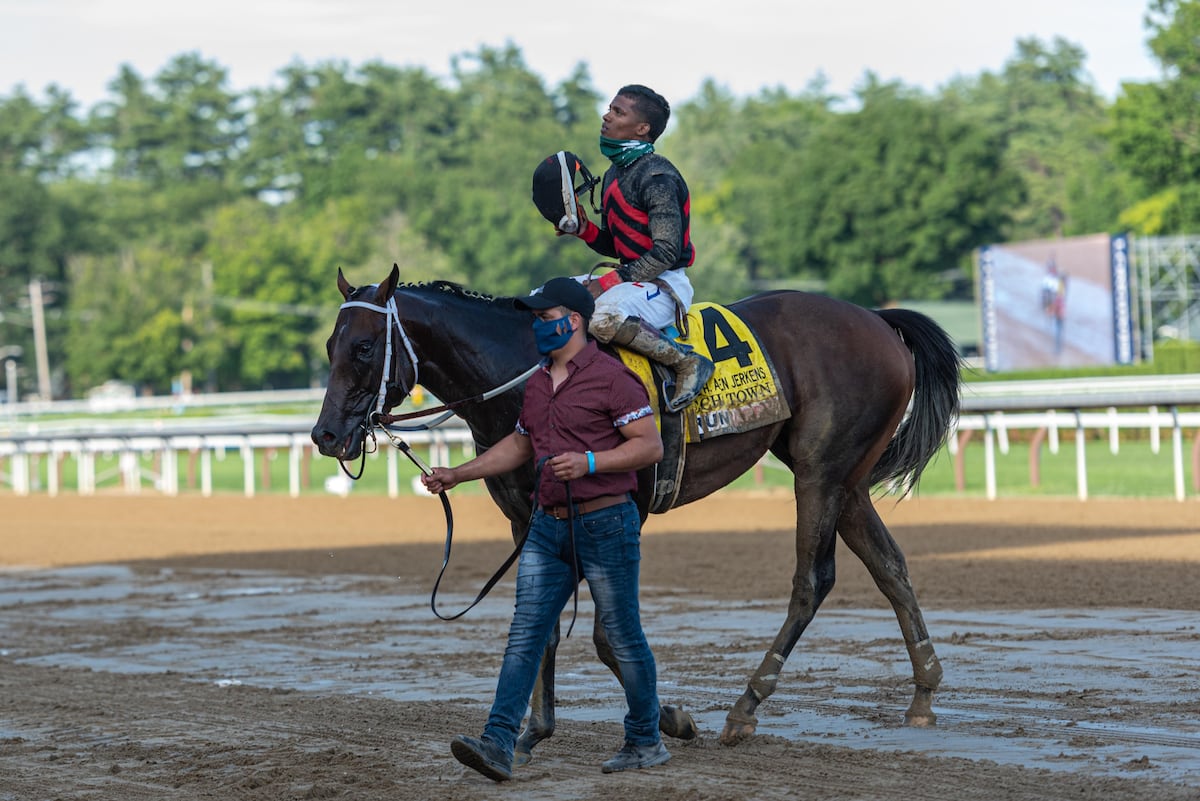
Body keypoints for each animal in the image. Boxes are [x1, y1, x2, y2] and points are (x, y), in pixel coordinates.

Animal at [314, 266, 960, 762]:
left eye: (365, 347)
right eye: (329, 346)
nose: (325, 435)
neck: (527, 368)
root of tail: (876, 319)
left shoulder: (621, 506)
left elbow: (606, 634)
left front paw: (669, 718)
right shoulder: (530, 517)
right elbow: (541, 620)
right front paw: (529, 733)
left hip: (820, 471)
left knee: (813, 579)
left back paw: (745, 707)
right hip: (847, 478)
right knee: (890, 566)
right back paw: (924, 695)